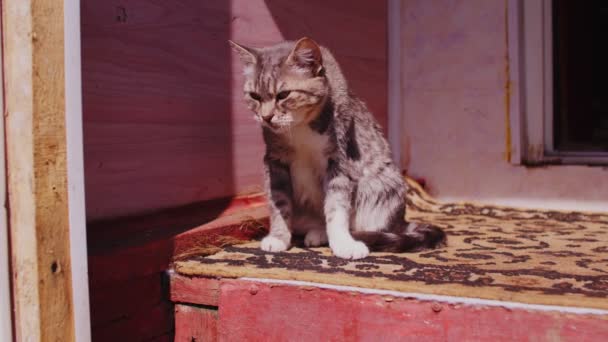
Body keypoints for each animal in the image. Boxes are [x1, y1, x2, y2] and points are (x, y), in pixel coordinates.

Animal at [230, 37, 444, 260]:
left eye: (283, 95)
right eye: (254, 96)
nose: (265, 117)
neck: (299, 127)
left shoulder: (339, 159)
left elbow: (336, 206)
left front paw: (343, 243)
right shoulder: (275, 162)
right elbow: (279, 203)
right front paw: (278, 237)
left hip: (384, 188)